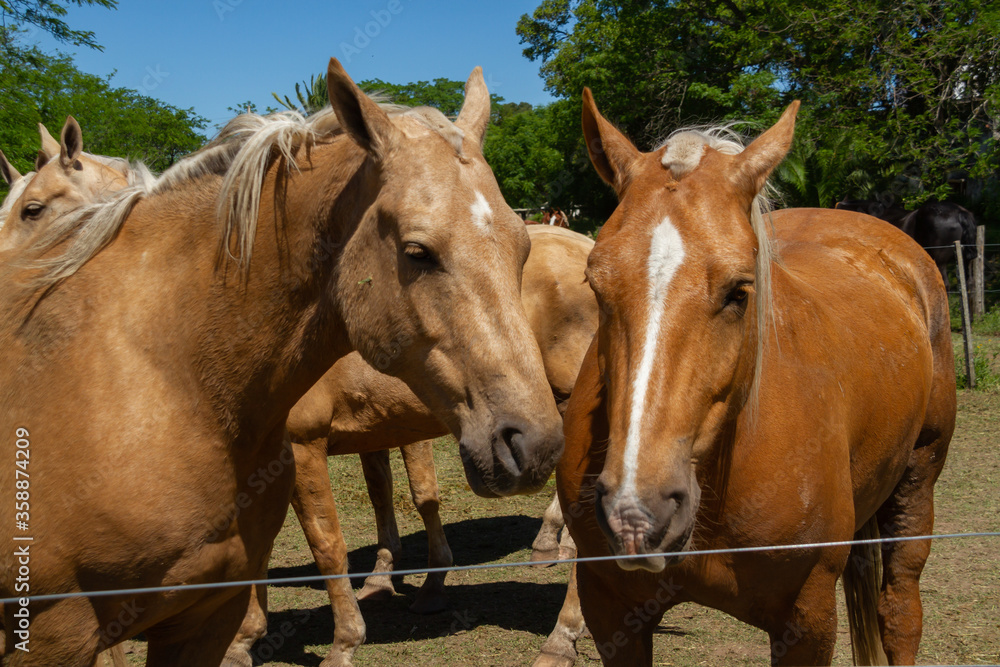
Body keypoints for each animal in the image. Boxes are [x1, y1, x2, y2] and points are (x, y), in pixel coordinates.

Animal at [545, 92, 955, 666]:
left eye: (740, 291)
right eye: (595, 283)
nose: (636, 515)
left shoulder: (807, 620)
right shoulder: (611, 611)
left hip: (919, 478)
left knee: (899, 613)